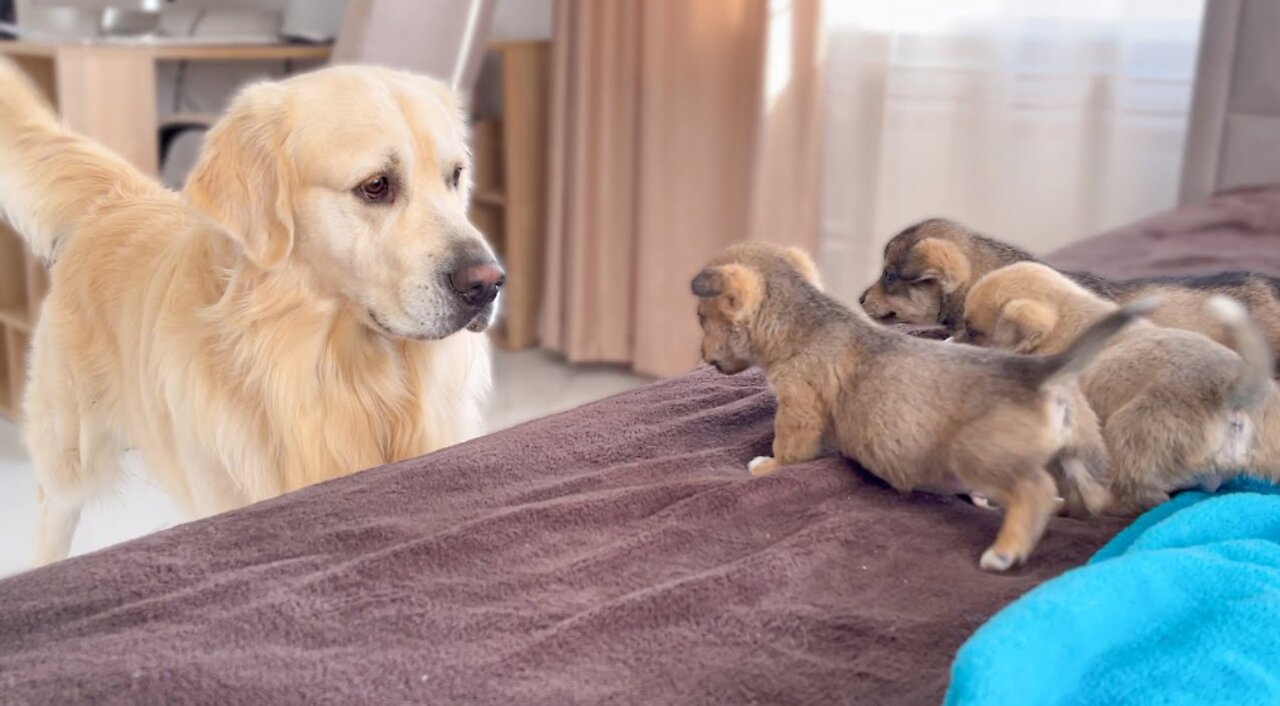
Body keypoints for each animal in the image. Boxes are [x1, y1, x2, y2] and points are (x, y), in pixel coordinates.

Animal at [0, 57, 501, 565]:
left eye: (455, 175)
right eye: (376, 185)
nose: (488, 283)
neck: (346, 379)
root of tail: (118, 200)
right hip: (69, 454)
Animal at [696, 243, 1146, 572]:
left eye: (701, 317)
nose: (701, 356)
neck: (803, 322)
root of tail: (1042, 372)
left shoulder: (799, 409)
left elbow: (787, 450)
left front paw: (766, 467)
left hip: (977, 455)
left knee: (1034, 491)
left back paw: (1005, 550)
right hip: (1081, 455)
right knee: (1085, 498)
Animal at [962, 262, 1280, 516]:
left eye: (973, 332)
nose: (951, 340)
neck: (1068, 315)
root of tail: (1235, 394)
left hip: (1128, 433)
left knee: (1127, 498)